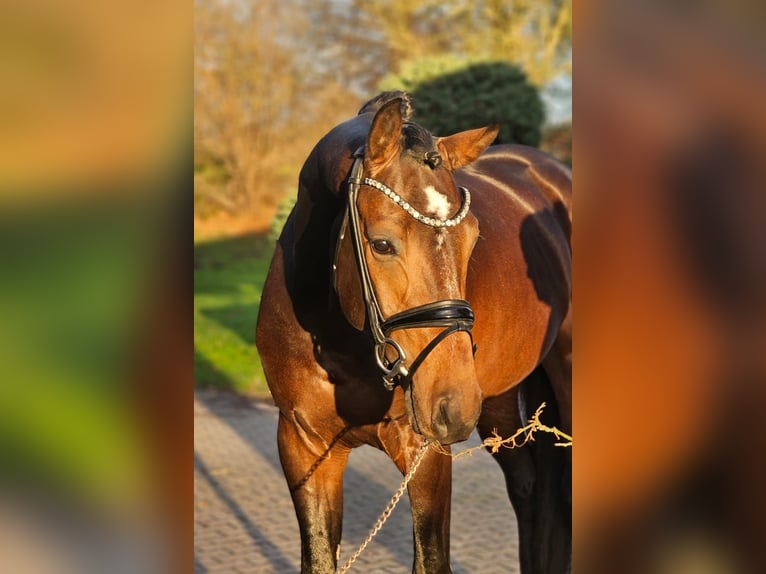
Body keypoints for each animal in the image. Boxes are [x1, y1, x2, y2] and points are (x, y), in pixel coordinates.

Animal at [255, 92, 572, 572]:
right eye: (382, 244)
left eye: (473, 240)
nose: (452, 405)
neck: (343, 345)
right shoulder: (302, 446)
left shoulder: (425, 453)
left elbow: (430, 559)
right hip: (497, 401)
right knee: (529, 488)